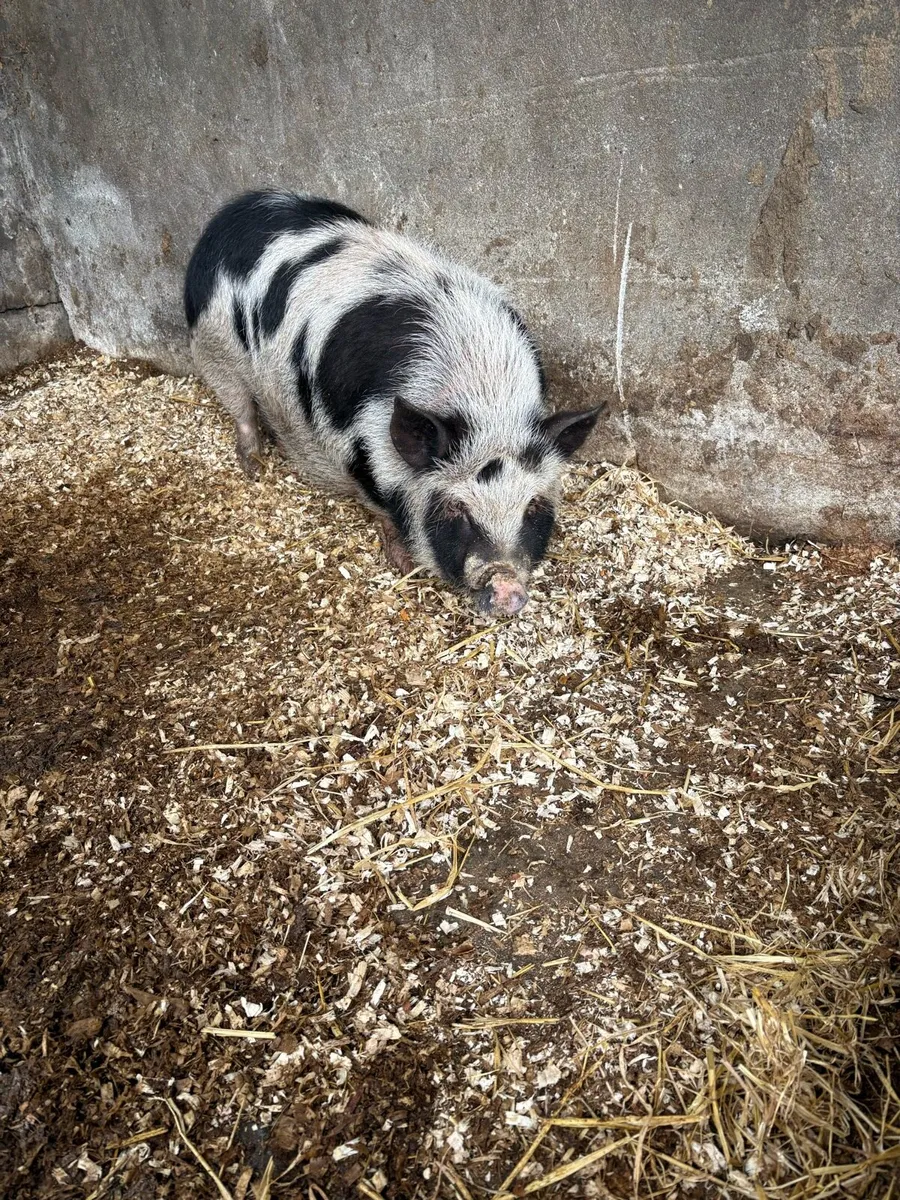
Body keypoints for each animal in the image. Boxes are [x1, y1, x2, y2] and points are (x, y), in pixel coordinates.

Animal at [184, 190, 600, 615]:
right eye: (457, 508)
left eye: (532, 505)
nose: (506, 586)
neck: (486, 404)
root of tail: (234, 212)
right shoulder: (359, 452)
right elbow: (381, 508)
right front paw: (402, 562)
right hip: (212, 346)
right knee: (240, 406)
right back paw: (254, 466)